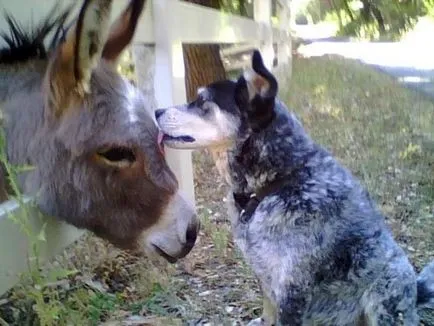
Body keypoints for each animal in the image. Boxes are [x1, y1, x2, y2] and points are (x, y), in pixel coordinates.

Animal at [155, 49, 434, 324]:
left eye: (202, 101)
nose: (156, 111)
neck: (276, 182)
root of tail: (416, 290)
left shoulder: (293, 286)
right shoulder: (265, 276)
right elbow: (268, 310)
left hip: (387, 290)